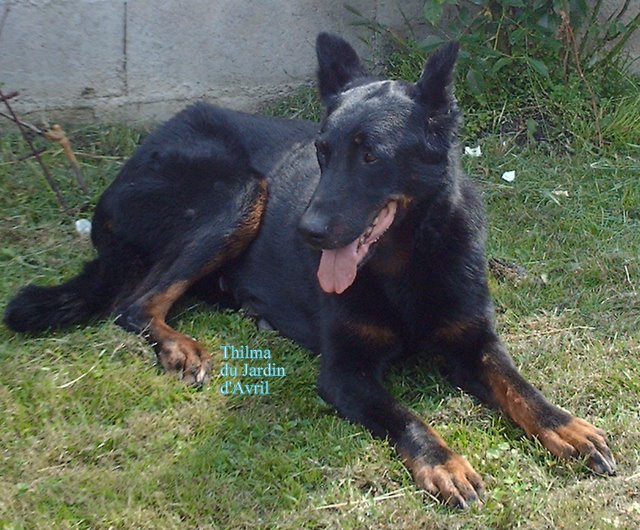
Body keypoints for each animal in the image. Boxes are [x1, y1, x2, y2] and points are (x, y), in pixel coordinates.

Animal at [3, 35, 616, 506]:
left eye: (371, 156)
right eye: (321, 152)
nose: (308, 232)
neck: (405, 262)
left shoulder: (475, 344)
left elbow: (521, 388)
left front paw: (566, 426)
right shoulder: (345, 373)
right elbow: (407, 415)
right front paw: (443, 461)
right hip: (243, 191)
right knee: (135, 304)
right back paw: (181, 347)